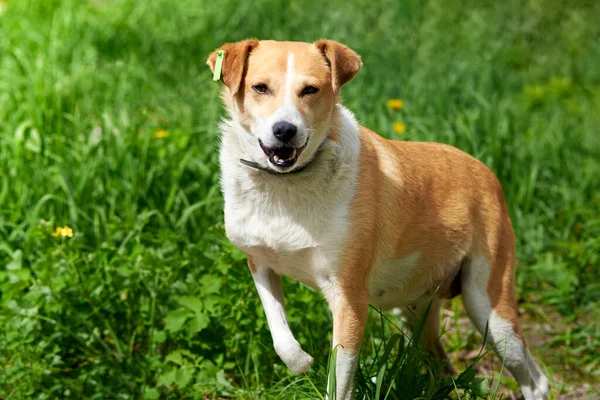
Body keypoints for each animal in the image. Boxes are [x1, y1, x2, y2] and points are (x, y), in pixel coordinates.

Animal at [206, 38, 548, 400]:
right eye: (260, 87)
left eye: (310, 90)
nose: (285, 130)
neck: (285, 186)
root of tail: (488, 175)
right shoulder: (260, 264)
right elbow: (279, 334)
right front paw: (301, 362)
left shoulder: (350, 298)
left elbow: (339, 381)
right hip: (415, 313)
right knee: (442, 370)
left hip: (489, 309)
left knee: (534, 379)